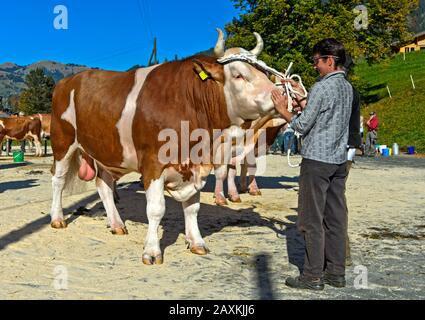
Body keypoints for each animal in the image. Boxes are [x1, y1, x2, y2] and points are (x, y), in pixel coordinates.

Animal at [48, 28, 278, 264]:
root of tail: (69, 80)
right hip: (62, 142)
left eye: (264, 72)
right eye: (239, 74)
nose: (278, 94)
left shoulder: (196, 166)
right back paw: (57, 218)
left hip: (106, 151)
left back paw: (117, 224)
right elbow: (156, 209)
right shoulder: (153, 164)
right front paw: (151, 251)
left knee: (103, 184)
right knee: (58, 180)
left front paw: (197, 242)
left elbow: (193, 207)